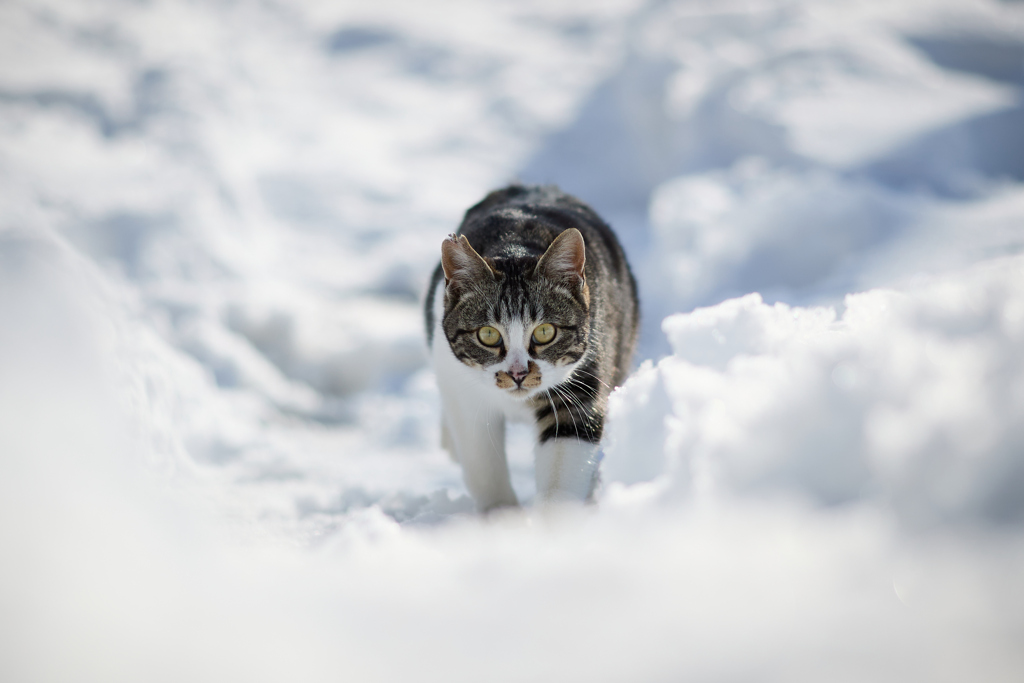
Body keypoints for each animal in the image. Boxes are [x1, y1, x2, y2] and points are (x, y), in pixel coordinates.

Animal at [421, 184, 630, 509]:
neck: (514, 245)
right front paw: (504, 516)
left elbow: (565, 461)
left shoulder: (584, 378)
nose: (518, 374)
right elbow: (482, 464)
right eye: (488, 335)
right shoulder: (462, 390)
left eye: (545, 332)